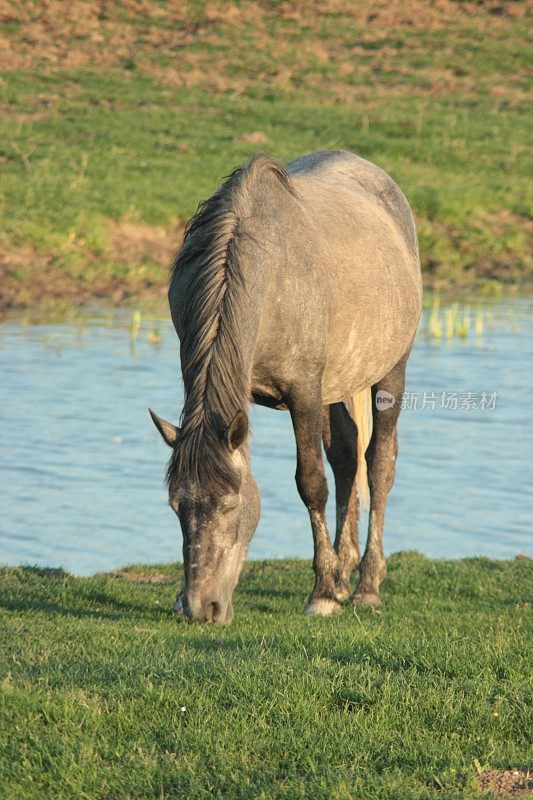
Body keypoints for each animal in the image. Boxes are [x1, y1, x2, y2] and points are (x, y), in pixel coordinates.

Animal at [149, 150, 420, 624]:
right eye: (176, 507)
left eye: (231, 504)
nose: (202, 608)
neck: (265, 274)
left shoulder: (304, 393)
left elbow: (311, 483)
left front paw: (322, 594)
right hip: (338, 385)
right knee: (347, 456)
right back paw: (345, 572)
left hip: (390, 373)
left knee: (378, 462)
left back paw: (366, 587)